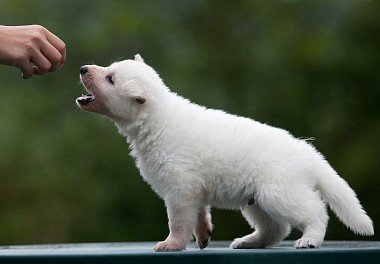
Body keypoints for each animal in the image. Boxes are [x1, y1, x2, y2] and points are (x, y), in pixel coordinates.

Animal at [75, 54, 372, 252]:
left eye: (111, 79)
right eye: (109, 68)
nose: (82, 68)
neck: (157, 121)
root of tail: (309, 154)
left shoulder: (180, 188)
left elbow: (179, 221)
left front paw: (171, 244)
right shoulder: (195, 189)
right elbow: (199, 215)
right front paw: (203, 236)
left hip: (279, 192)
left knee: (314, 212)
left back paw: (309, 239)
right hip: (255, 200)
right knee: (275, 228)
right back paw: (249, 241)